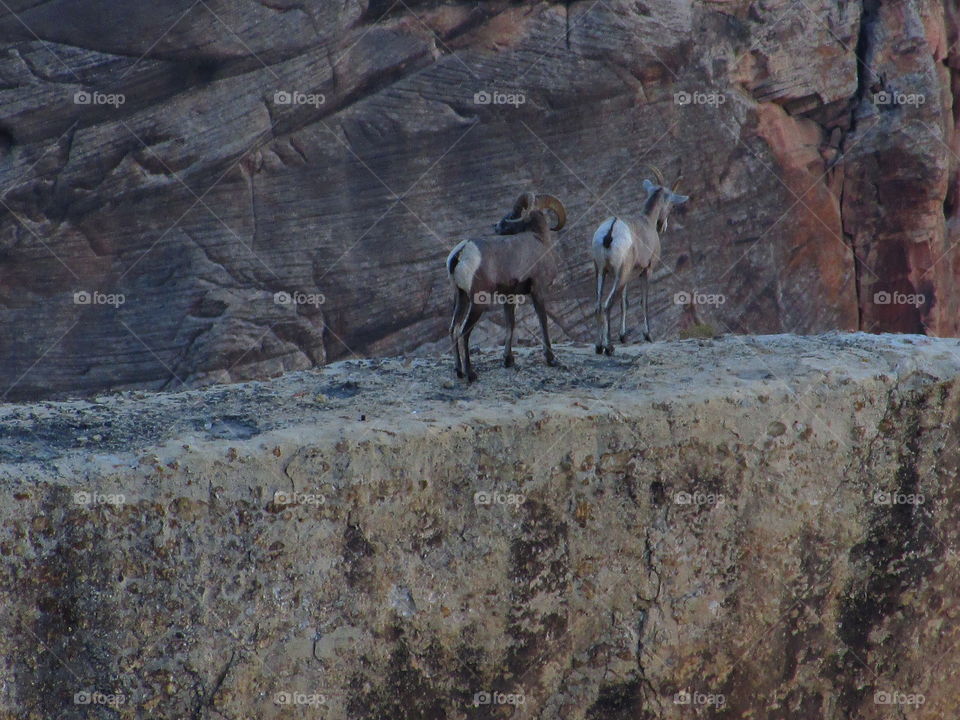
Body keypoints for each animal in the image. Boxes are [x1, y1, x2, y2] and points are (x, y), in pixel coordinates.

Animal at [446, 193, 567, 382]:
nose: (496, 226)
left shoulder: (509, 296)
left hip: (461, 297)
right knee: (464, 331)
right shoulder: (538, 291)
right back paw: (471, 374)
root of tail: (463, 250)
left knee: (454, 329)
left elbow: (511, 322)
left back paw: (458, 371)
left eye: (513, 214)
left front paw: (508, 360)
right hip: (478, 302)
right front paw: (551, 359)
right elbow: (543, 321)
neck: (540, 241)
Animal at [592, 168, 687, 355]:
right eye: (672, 205)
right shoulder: (647, 270)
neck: (647, 220)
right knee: (607, 305)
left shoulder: (628, 276)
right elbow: (644, 302)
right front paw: (648, 335)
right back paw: (609, 347)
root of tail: (611, 230)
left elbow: (625, 303)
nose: (662, 226)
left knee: (598, 305)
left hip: (601, 272)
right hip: (619, 276)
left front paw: (623, 337)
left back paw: (599, 347)